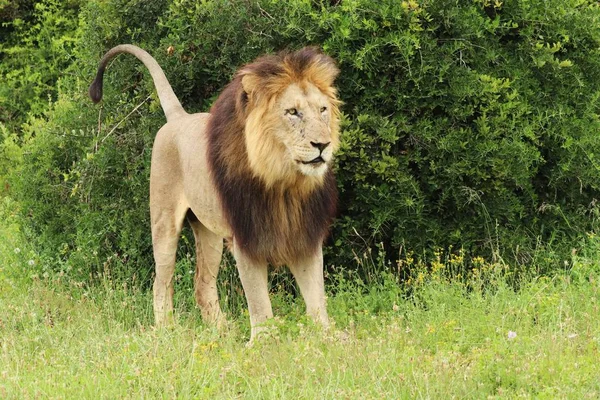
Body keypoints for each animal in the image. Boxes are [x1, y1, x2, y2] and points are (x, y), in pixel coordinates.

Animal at [89, 43, 342, 340]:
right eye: (292, 112)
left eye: (323, 110)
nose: (322, 144)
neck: (285, 183)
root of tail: (180, 117)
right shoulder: (246, 240)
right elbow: (259, 303)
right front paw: (263, 342)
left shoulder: (305, 235)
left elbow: (317, 299)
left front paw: (329, 338)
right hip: (163, 223)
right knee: (161, 282)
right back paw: (166, 331)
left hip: (208, 232)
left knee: (202, 283)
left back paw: (221, 333)